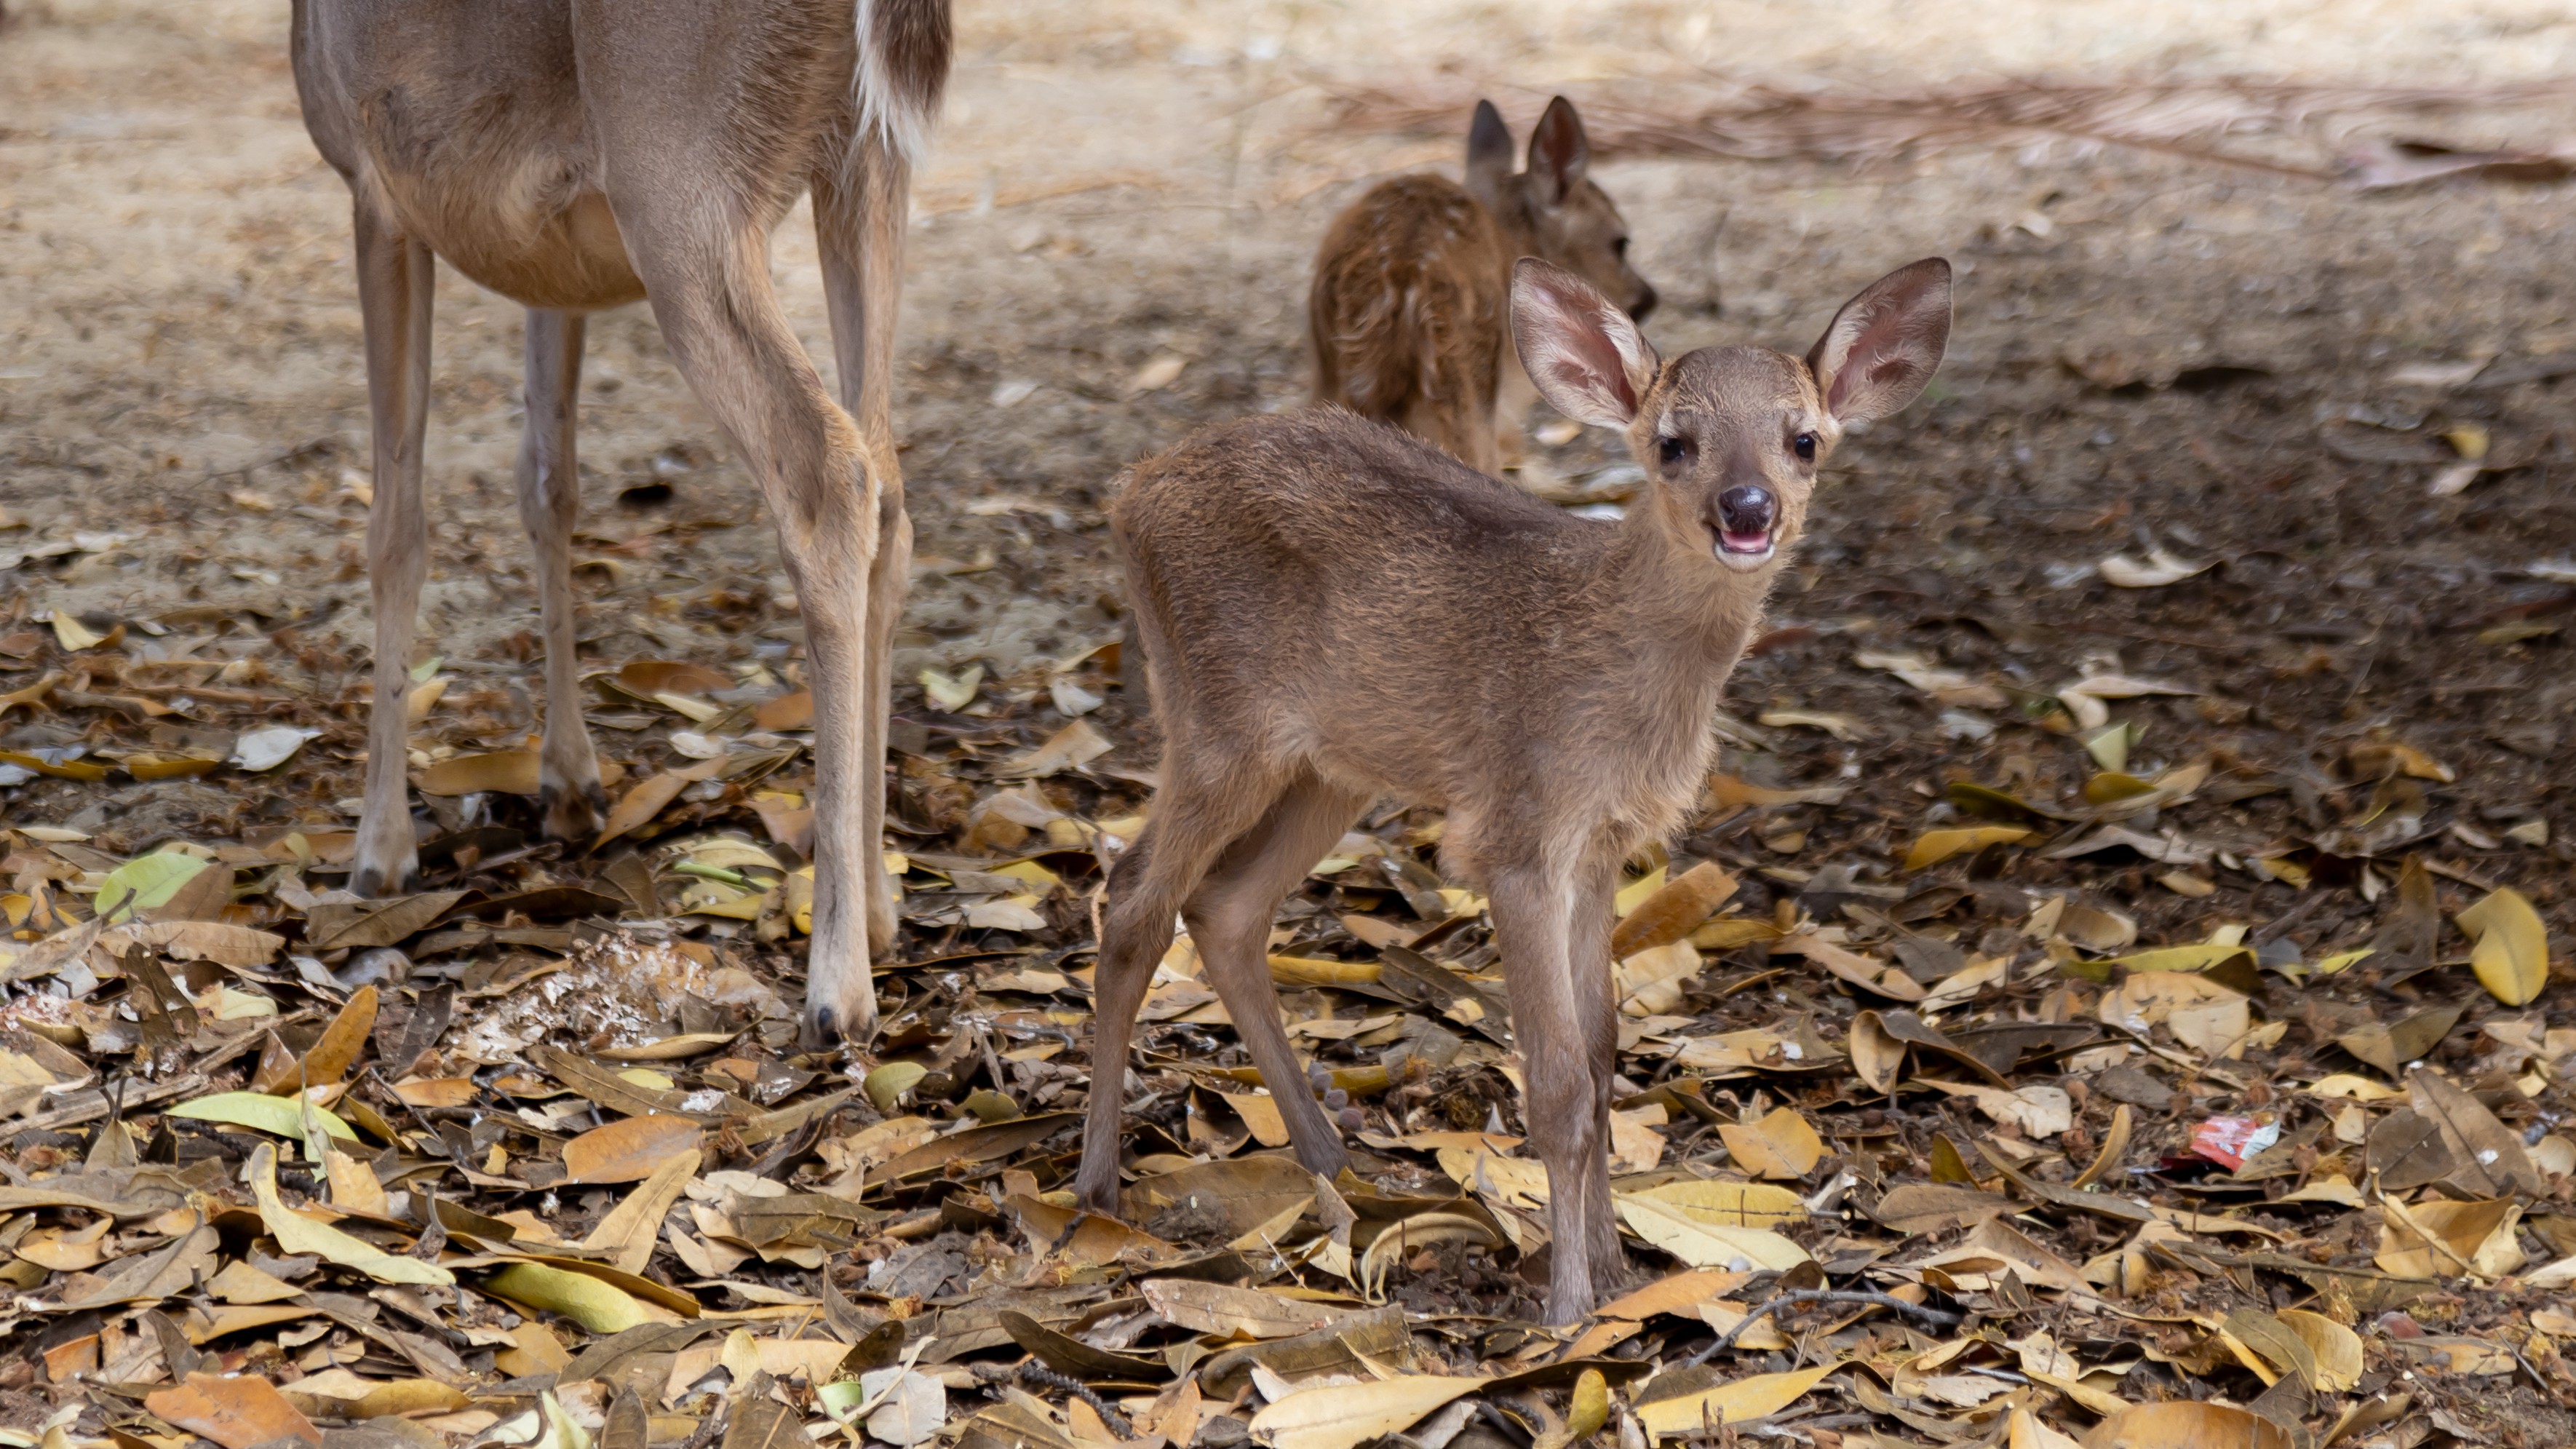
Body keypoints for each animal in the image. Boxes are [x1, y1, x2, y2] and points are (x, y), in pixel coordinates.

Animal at [292, 0, 953, 1036]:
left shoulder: (374, 185)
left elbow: (396, 525)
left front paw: (380, 851)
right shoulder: (545, 260)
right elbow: (546, 483)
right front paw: (569, 780)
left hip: (680, 189)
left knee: (831, 473)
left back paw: (837, 986)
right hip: (867, 163)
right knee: (889, 487)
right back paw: (881, 912)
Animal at [1076, 253, 1937, 1314]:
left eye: (1804, 438)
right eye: (1673, 442)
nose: (1747, 507)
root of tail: (1128, 490)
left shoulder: (1605, 840)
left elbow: (1604, 1060)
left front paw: (1616, 1271)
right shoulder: (1519, 829)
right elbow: (1559, 1082)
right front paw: (1569, 1306)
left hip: (1332, 761)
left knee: (1227, 908)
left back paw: (1333, 1160)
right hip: (1215, 717)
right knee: (1133, 897)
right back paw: (1097, 1187)